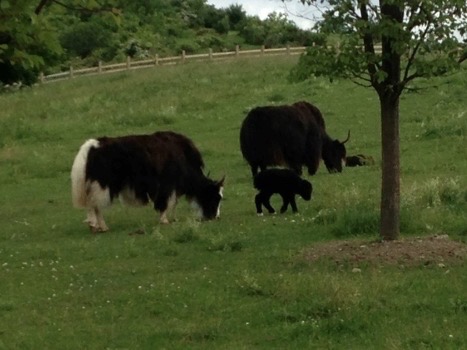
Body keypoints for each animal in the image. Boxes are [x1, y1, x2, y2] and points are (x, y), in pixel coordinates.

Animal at [70, 130, 226, 231]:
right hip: (102, 185)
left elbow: (173, 202)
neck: (183, 157)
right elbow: (165, 202)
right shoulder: (167, 185)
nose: (216, 217)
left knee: (92, 204)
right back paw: (101, 226)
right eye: (215, 197)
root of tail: (90, 147)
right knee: (96, 205)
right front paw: (164, 220)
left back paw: (95, 226)